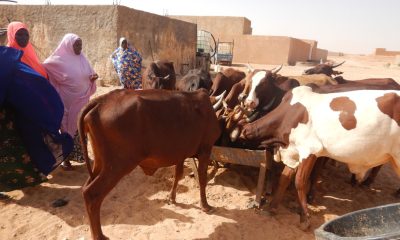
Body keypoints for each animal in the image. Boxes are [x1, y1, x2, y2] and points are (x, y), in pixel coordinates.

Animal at [78, 88, 222, 240]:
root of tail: (101, 100)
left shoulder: (180, 154)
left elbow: (178, 174)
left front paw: (172, 198)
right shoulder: (206, 149)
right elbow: (202, 178)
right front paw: (205, 205)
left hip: (100, 163)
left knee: (86, 188)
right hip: (118, 165)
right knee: (92, 194)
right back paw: (99, 236)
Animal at [241, 86, 400, 229]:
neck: (291, 113)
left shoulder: (310, 151)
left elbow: (299, 182)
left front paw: (304, 218)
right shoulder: (294, 152)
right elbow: (284, 179)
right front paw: (271, 208)